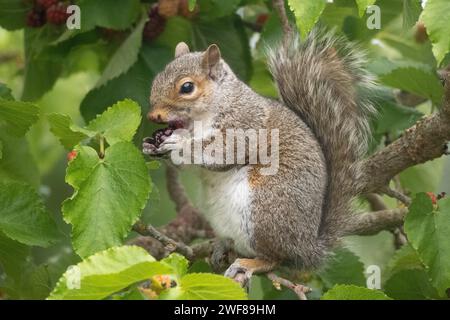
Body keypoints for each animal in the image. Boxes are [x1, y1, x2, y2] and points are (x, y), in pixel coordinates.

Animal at [143, 28, 372, 282]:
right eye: (156, 79)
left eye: (187, 88)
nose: (153, 116)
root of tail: (307, 248)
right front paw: (150, 146)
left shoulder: (245, 126)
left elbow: (221, 151)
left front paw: (178, 143)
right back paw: (223, 246)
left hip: (264, 211)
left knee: (275, 259)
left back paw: (250, 263)